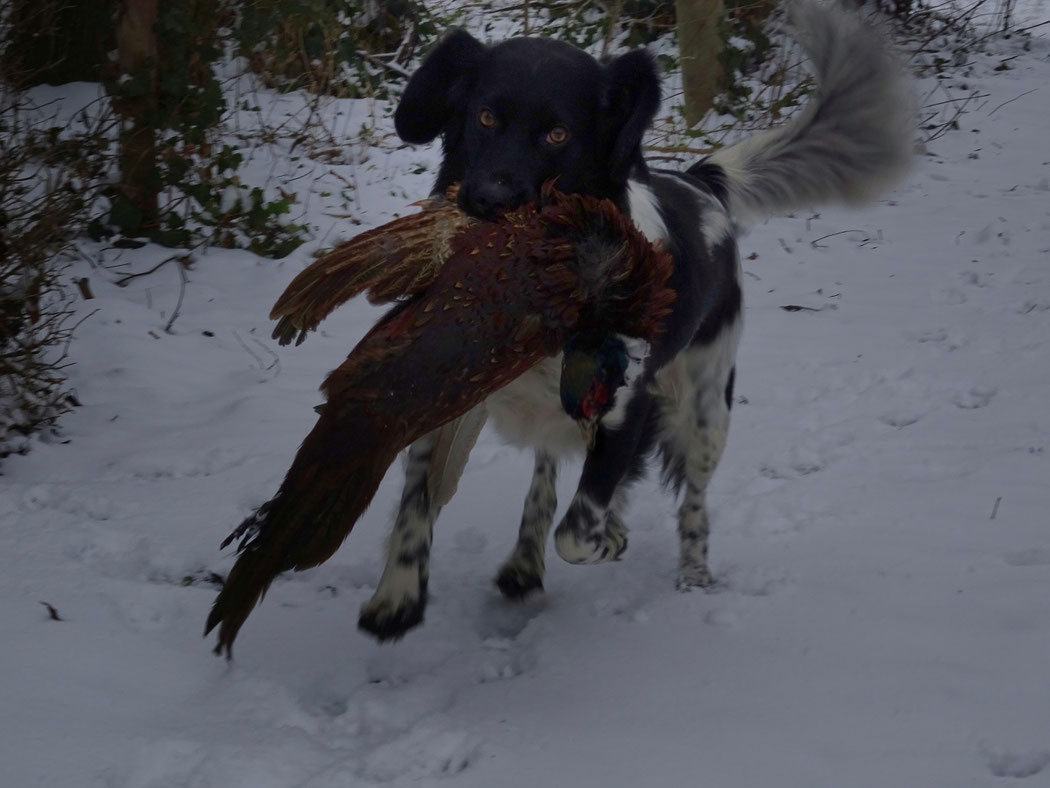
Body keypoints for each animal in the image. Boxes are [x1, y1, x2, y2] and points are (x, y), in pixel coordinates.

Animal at [354, 0, 911, 638]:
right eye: (486, 116)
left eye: (558, 133)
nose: (490, 201)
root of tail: (700, 182)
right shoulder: (445, 388)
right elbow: (418, 499)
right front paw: (397, 594)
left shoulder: (626, 404)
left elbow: (580, 529)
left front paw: (609, 538)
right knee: (550, 471)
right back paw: (524, 563)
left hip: (707, 410)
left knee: (689, 498)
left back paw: (690, 570)